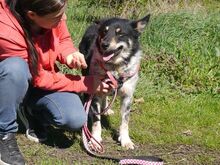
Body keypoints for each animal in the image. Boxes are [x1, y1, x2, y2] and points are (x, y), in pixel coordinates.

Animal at [78, 14, 150, 150]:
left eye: (120, 33)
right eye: (104, 32)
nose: (104, 44)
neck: (115, 68)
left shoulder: (127, 96)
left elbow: (125, 121)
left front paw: (126, 140)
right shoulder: (95, 93)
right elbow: (96, 120)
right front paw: (95, 140)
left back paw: (107, 109)